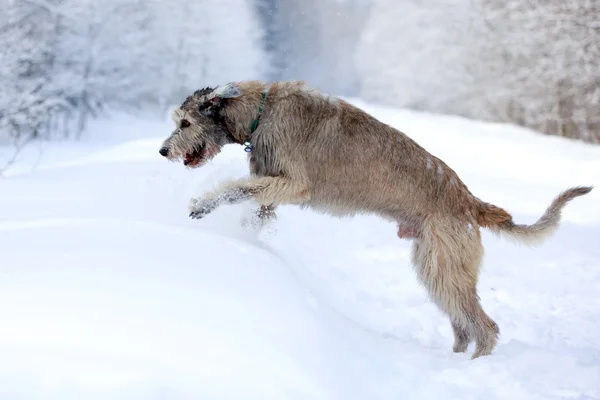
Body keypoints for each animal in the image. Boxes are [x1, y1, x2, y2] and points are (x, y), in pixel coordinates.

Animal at [157, 80, 592, 360]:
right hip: (435, 265)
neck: (262, 110)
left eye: (185, 123)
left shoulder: (293, 183)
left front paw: (202, 204)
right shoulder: (270, 188)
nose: (162, 151)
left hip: (444, 264)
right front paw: (247, 243)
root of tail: (470, 202)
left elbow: (235, 188)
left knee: (485, 327)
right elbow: (253, 204)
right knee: (463, 324)